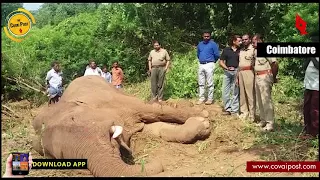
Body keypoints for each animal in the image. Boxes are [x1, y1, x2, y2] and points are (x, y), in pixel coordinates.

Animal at [31, 75, 211, 176]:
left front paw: (204, 118)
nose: (159, 163)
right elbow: (152, 128)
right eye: (60, 156)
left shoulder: (110, 100)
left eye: (74, 119)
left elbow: (153, 111)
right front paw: (202, 123)